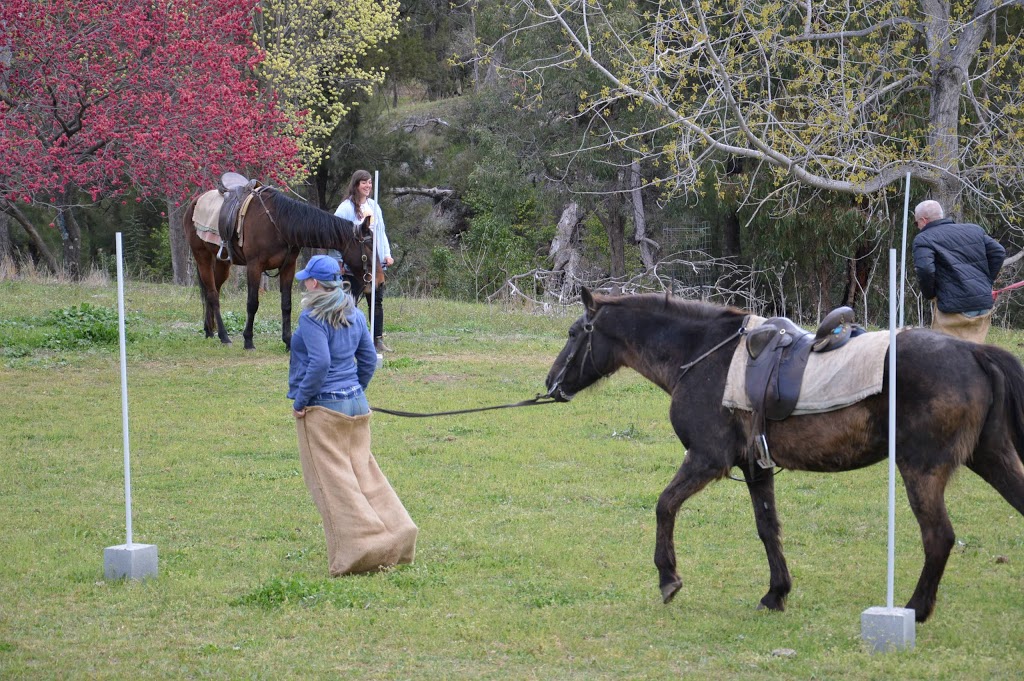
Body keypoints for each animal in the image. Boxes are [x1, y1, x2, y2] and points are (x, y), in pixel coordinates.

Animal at [184, 187, 376, 350]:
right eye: (369, 247)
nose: (374, 277)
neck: (278, 223)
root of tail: (195, 202)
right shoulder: (254, 267)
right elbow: (252, 303)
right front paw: (248, 340)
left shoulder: (288, 267)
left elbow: (286, 304)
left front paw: (288, 341)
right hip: (202, 257)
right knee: (212, 295)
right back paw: (224, 336)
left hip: (223, 263)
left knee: (212, 291)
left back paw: (209, 331)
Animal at [548, 286, 1024, 622]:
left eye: (573, 334)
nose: (552, 383)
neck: (701, 356)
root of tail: (974, 352)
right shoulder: (754, 468)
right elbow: (768, 528)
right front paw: (776, 593)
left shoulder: (706, 459)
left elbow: (665, 505)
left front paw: (668, 578)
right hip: (992, 458)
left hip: (922, 470)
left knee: (938, 537)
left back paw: (915, 609)